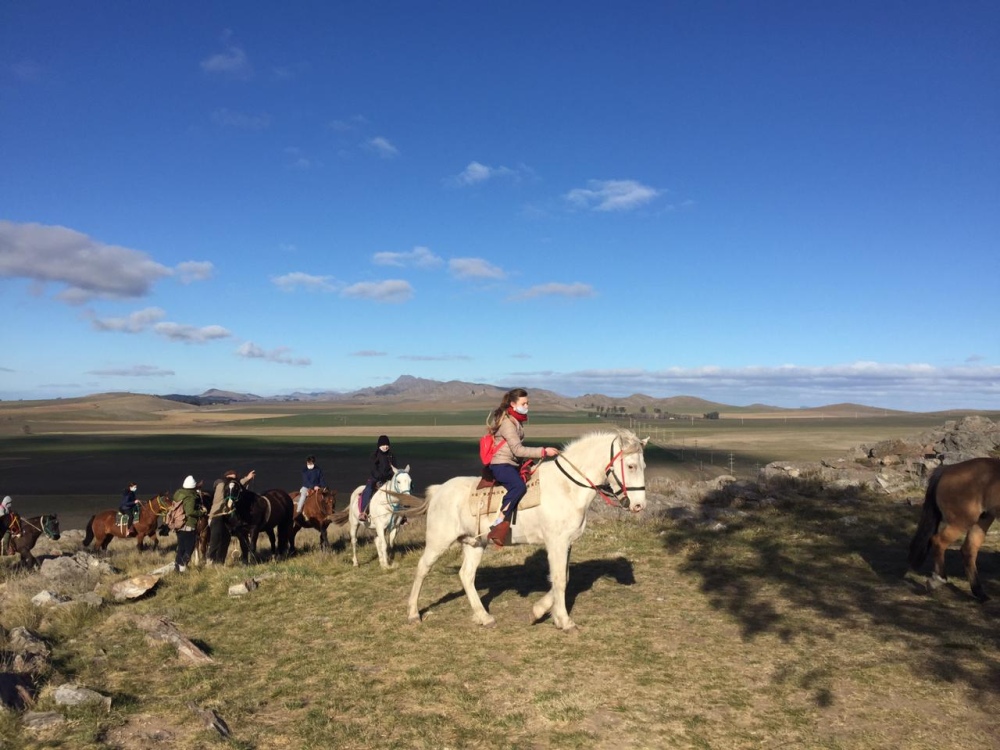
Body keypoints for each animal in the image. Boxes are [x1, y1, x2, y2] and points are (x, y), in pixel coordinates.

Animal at [406, 432, 648, 632]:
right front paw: (564, 621)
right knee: (423, 568)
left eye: (644, 465)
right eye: (631, 466)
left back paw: (484, 617)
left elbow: (564, 577)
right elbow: (560, 579)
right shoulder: (556, 543)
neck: (567, 487)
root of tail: (439, 489)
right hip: (439, 541)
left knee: (466, 575)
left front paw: (540, 612)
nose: (639, 505)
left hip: (474, 544)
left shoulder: (567, 543)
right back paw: (413, 614)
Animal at [908, 456, 1000, 604]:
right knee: (938, 541)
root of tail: (948, 469)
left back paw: (980, 594)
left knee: (969, 550)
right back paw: (937, 580)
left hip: (982, 520)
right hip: (961, 522)